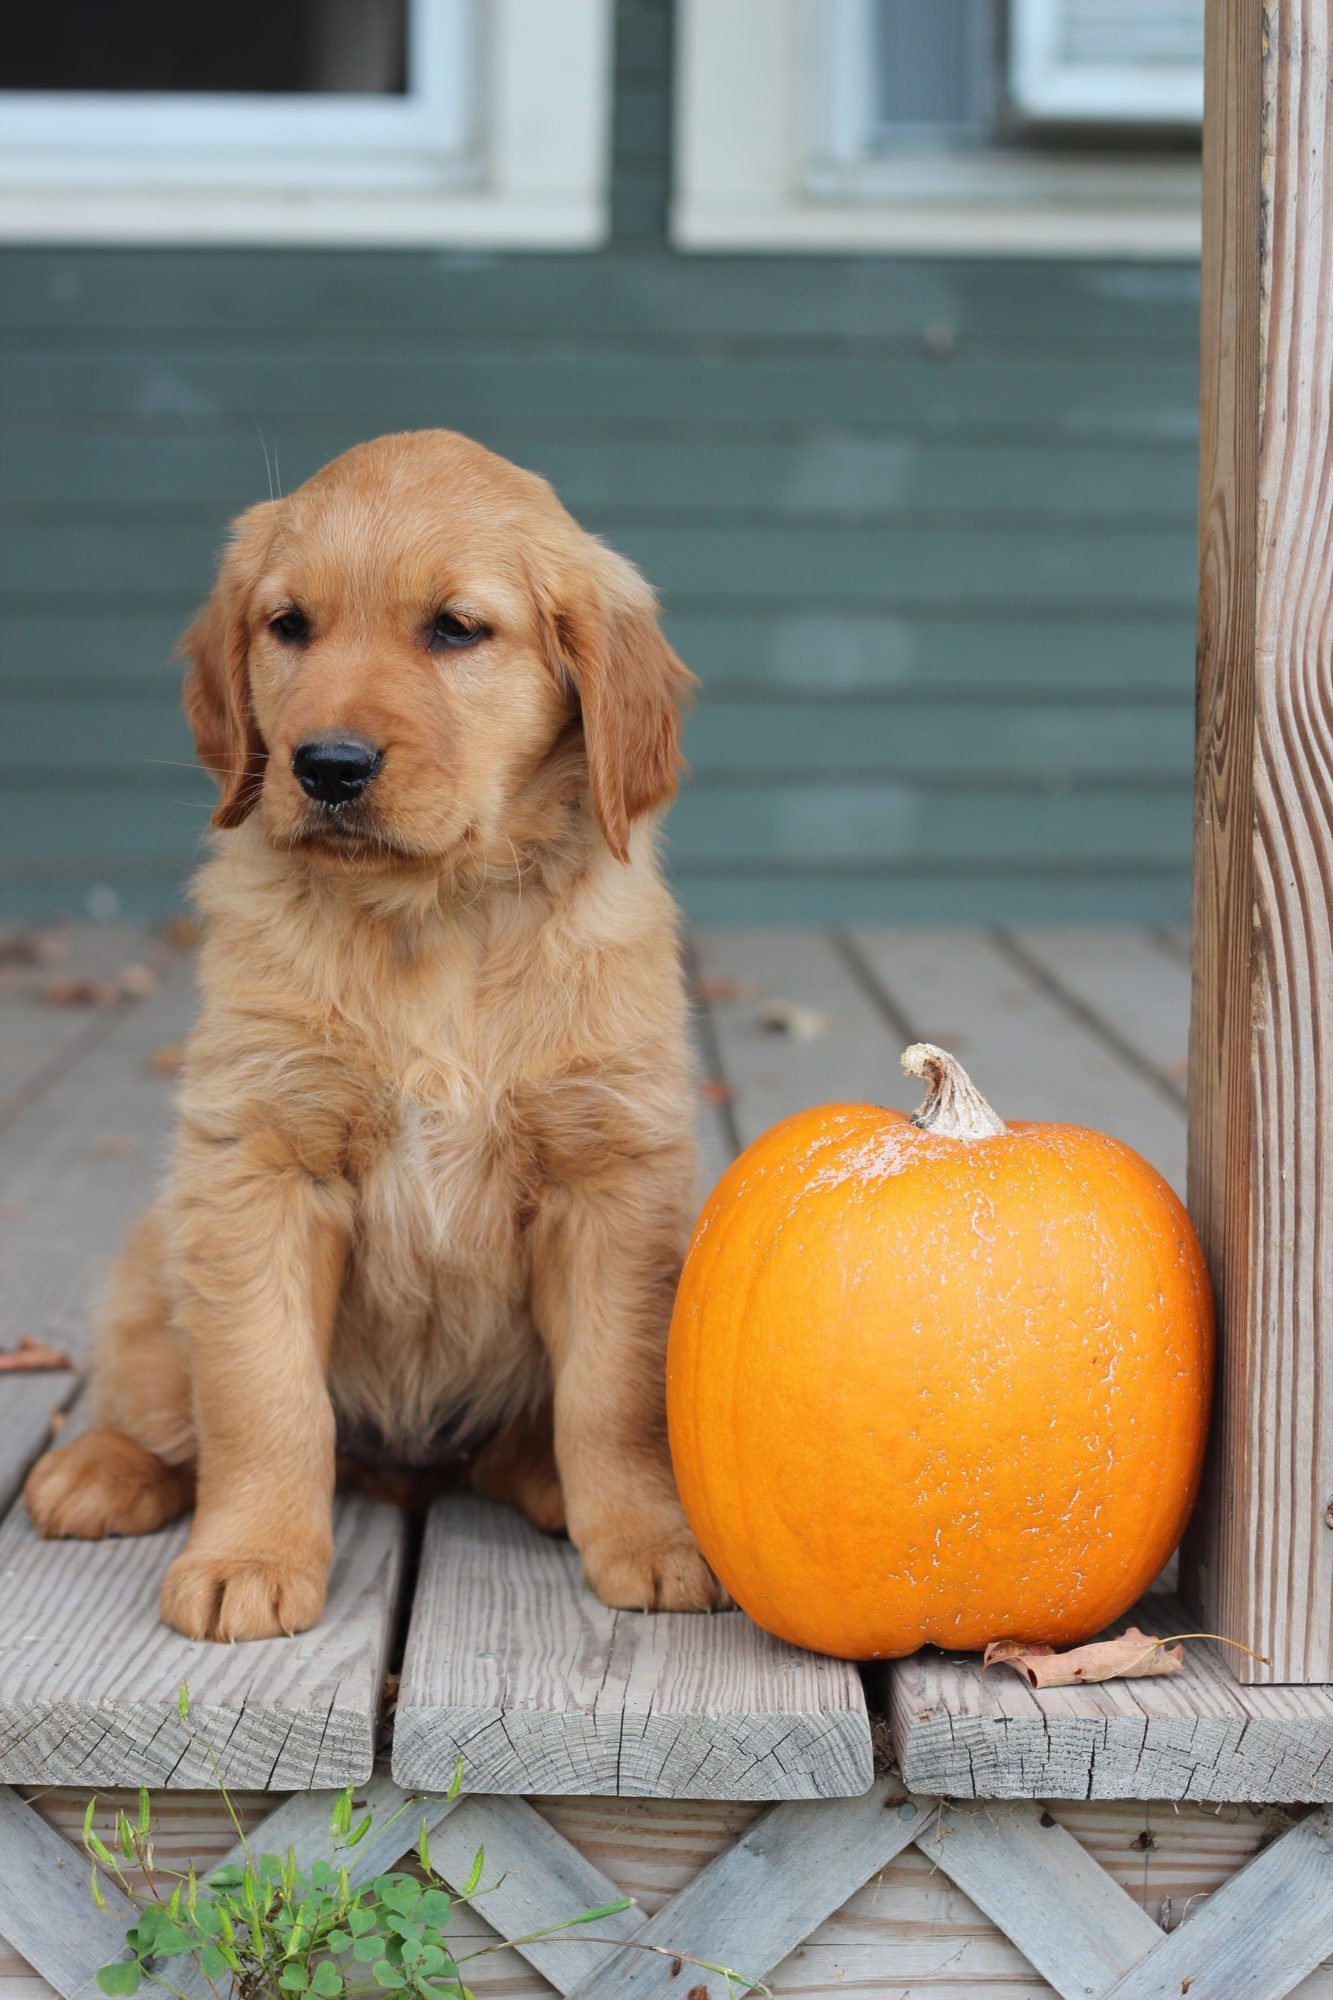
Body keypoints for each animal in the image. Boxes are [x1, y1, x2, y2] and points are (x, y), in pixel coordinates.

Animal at [28, 430, 716, 1632]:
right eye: (288, 624)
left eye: (455, 628)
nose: (328, 766)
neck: (428, 917)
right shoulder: (257, 1164)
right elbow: (261, 1394)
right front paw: (250, 1555)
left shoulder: (611, 1180)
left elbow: (615, 1394)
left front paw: (651, 1535)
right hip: (154, 1261)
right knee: (160, 1396)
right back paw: (99, 1466)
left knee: (519, 1442)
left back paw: (546, 1482)